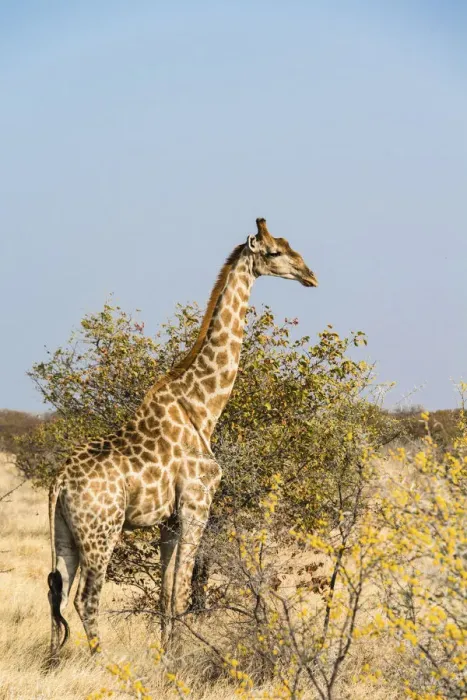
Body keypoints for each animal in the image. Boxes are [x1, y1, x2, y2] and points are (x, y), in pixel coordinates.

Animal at [47, 217, 318, 662]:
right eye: (275, 252)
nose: (310, 275)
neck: (203, 409)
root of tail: (58, 483)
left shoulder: (169, 521)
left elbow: (165, 594)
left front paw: (166, 656)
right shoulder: (197, 506)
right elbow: (181, 593)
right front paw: (178, 660)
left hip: (64, 533)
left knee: (56, 591)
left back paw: (52, 663)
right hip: (102, 531)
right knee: (87, 597)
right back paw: (102, 664)